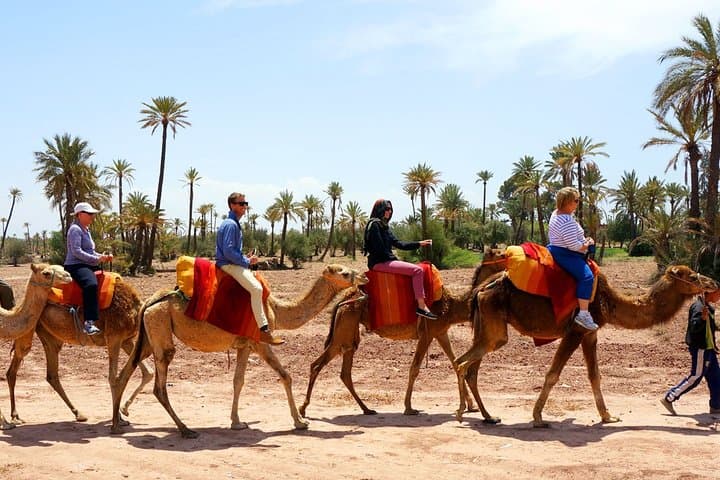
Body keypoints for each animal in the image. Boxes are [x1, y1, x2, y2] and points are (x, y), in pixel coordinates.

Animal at [6, 273, 154, 426]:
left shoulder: (126, 341)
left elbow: (149, 372)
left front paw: (124, 411)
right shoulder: (114, 338)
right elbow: (114, 377)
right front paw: (118, 418)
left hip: (50, 337)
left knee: (51, 375)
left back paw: (77, 413)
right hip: (28, 329)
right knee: (15, 367)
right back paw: (15, 416)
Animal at [111, 263, 368, 438]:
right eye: (345, 273)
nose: (365, 276)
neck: (275, 308)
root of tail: (149, 302)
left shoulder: (244, 345)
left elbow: (238, 381)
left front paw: (236, 422)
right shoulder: (261, 341)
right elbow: (286, 376)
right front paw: (300, 422)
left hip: (148, 336)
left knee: (124, 374)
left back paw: (117, 423)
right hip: (161, 327)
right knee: (159, 385)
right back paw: (185, 429)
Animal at [299, 254, 507, 417]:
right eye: (501, 255)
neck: (452, 306)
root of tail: (343, 298)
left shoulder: (440, 332)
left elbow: (455, 363)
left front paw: (470, 406)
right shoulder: (427, 333)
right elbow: (414, 368)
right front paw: (409, 408)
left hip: (348, 329)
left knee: (343, 372)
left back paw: (366, 409)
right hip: (345, 326)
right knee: (319, 365)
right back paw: (303, 410)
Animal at [453, 264, 718, 427]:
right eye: (691, 276)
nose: (713, 283)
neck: (607, 301)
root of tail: (480, 289)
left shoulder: (591, 334)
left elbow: (595, 376)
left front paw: (608, 417)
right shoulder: (576, 330)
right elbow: (553, 374)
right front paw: (538, 418)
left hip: (487, 327)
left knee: (470, 368)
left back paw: (488, 416)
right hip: (495, 329)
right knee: (462, 363)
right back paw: (461, 413)